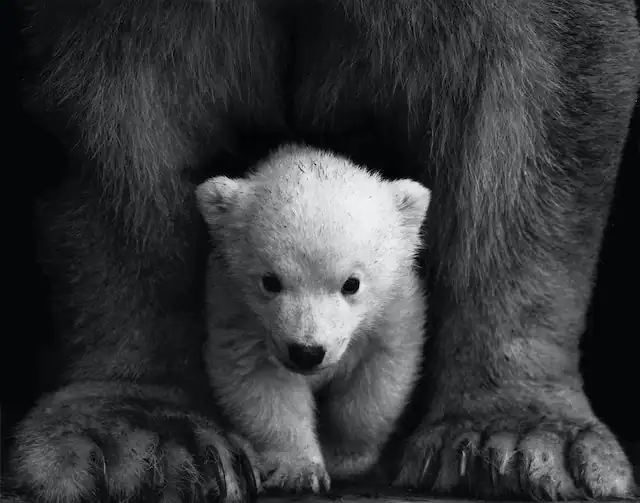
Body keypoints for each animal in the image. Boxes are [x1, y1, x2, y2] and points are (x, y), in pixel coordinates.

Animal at [195, 144, 429, 493]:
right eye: (270, 281)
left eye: (351, 283)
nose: (306, 352)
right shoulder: (237, 313)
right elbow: (262, 384)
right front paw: (299, 470)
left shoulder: (394, 310)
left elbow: (377, 381)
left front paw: (344, 457)